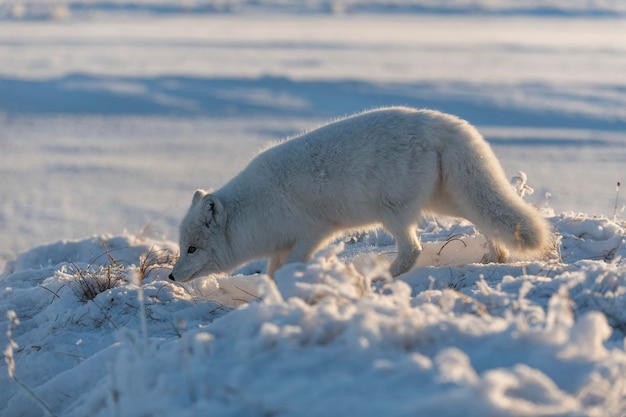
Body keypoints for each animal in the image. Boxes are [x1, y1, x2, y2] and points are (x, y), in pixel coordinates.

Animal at [168, 107, 548, 282]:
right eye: (182, 247)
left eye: (192, 249)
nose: (171, 276)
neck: (256, 208)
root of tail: (441, 122)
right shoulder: (282, 242)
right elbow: (274, 271)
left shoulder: (314, 231)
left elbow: (290, 265)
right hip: (447, 201)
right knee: (485, 219)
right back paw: (495, 257)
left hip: (393, 213)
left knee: (413, 249)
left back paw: (386, 276)